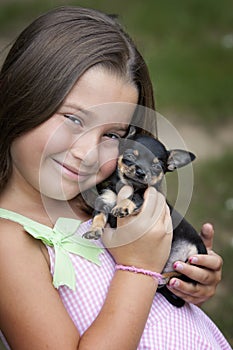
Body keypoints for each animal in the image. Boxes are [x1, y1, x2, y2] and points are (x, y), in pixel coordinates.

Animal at [83, 129, 207, 306]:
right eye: (129, 157)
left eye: (156, 167)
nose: (141, 172)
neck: (124, 186)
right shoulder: (104, 200)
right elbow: (99, 216)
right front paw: (94, 229)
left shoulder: (145, 196)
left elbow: (134, 197)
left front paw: (123, 206)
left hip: (195, 261)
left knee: (184, 275)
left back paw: (164, 279)